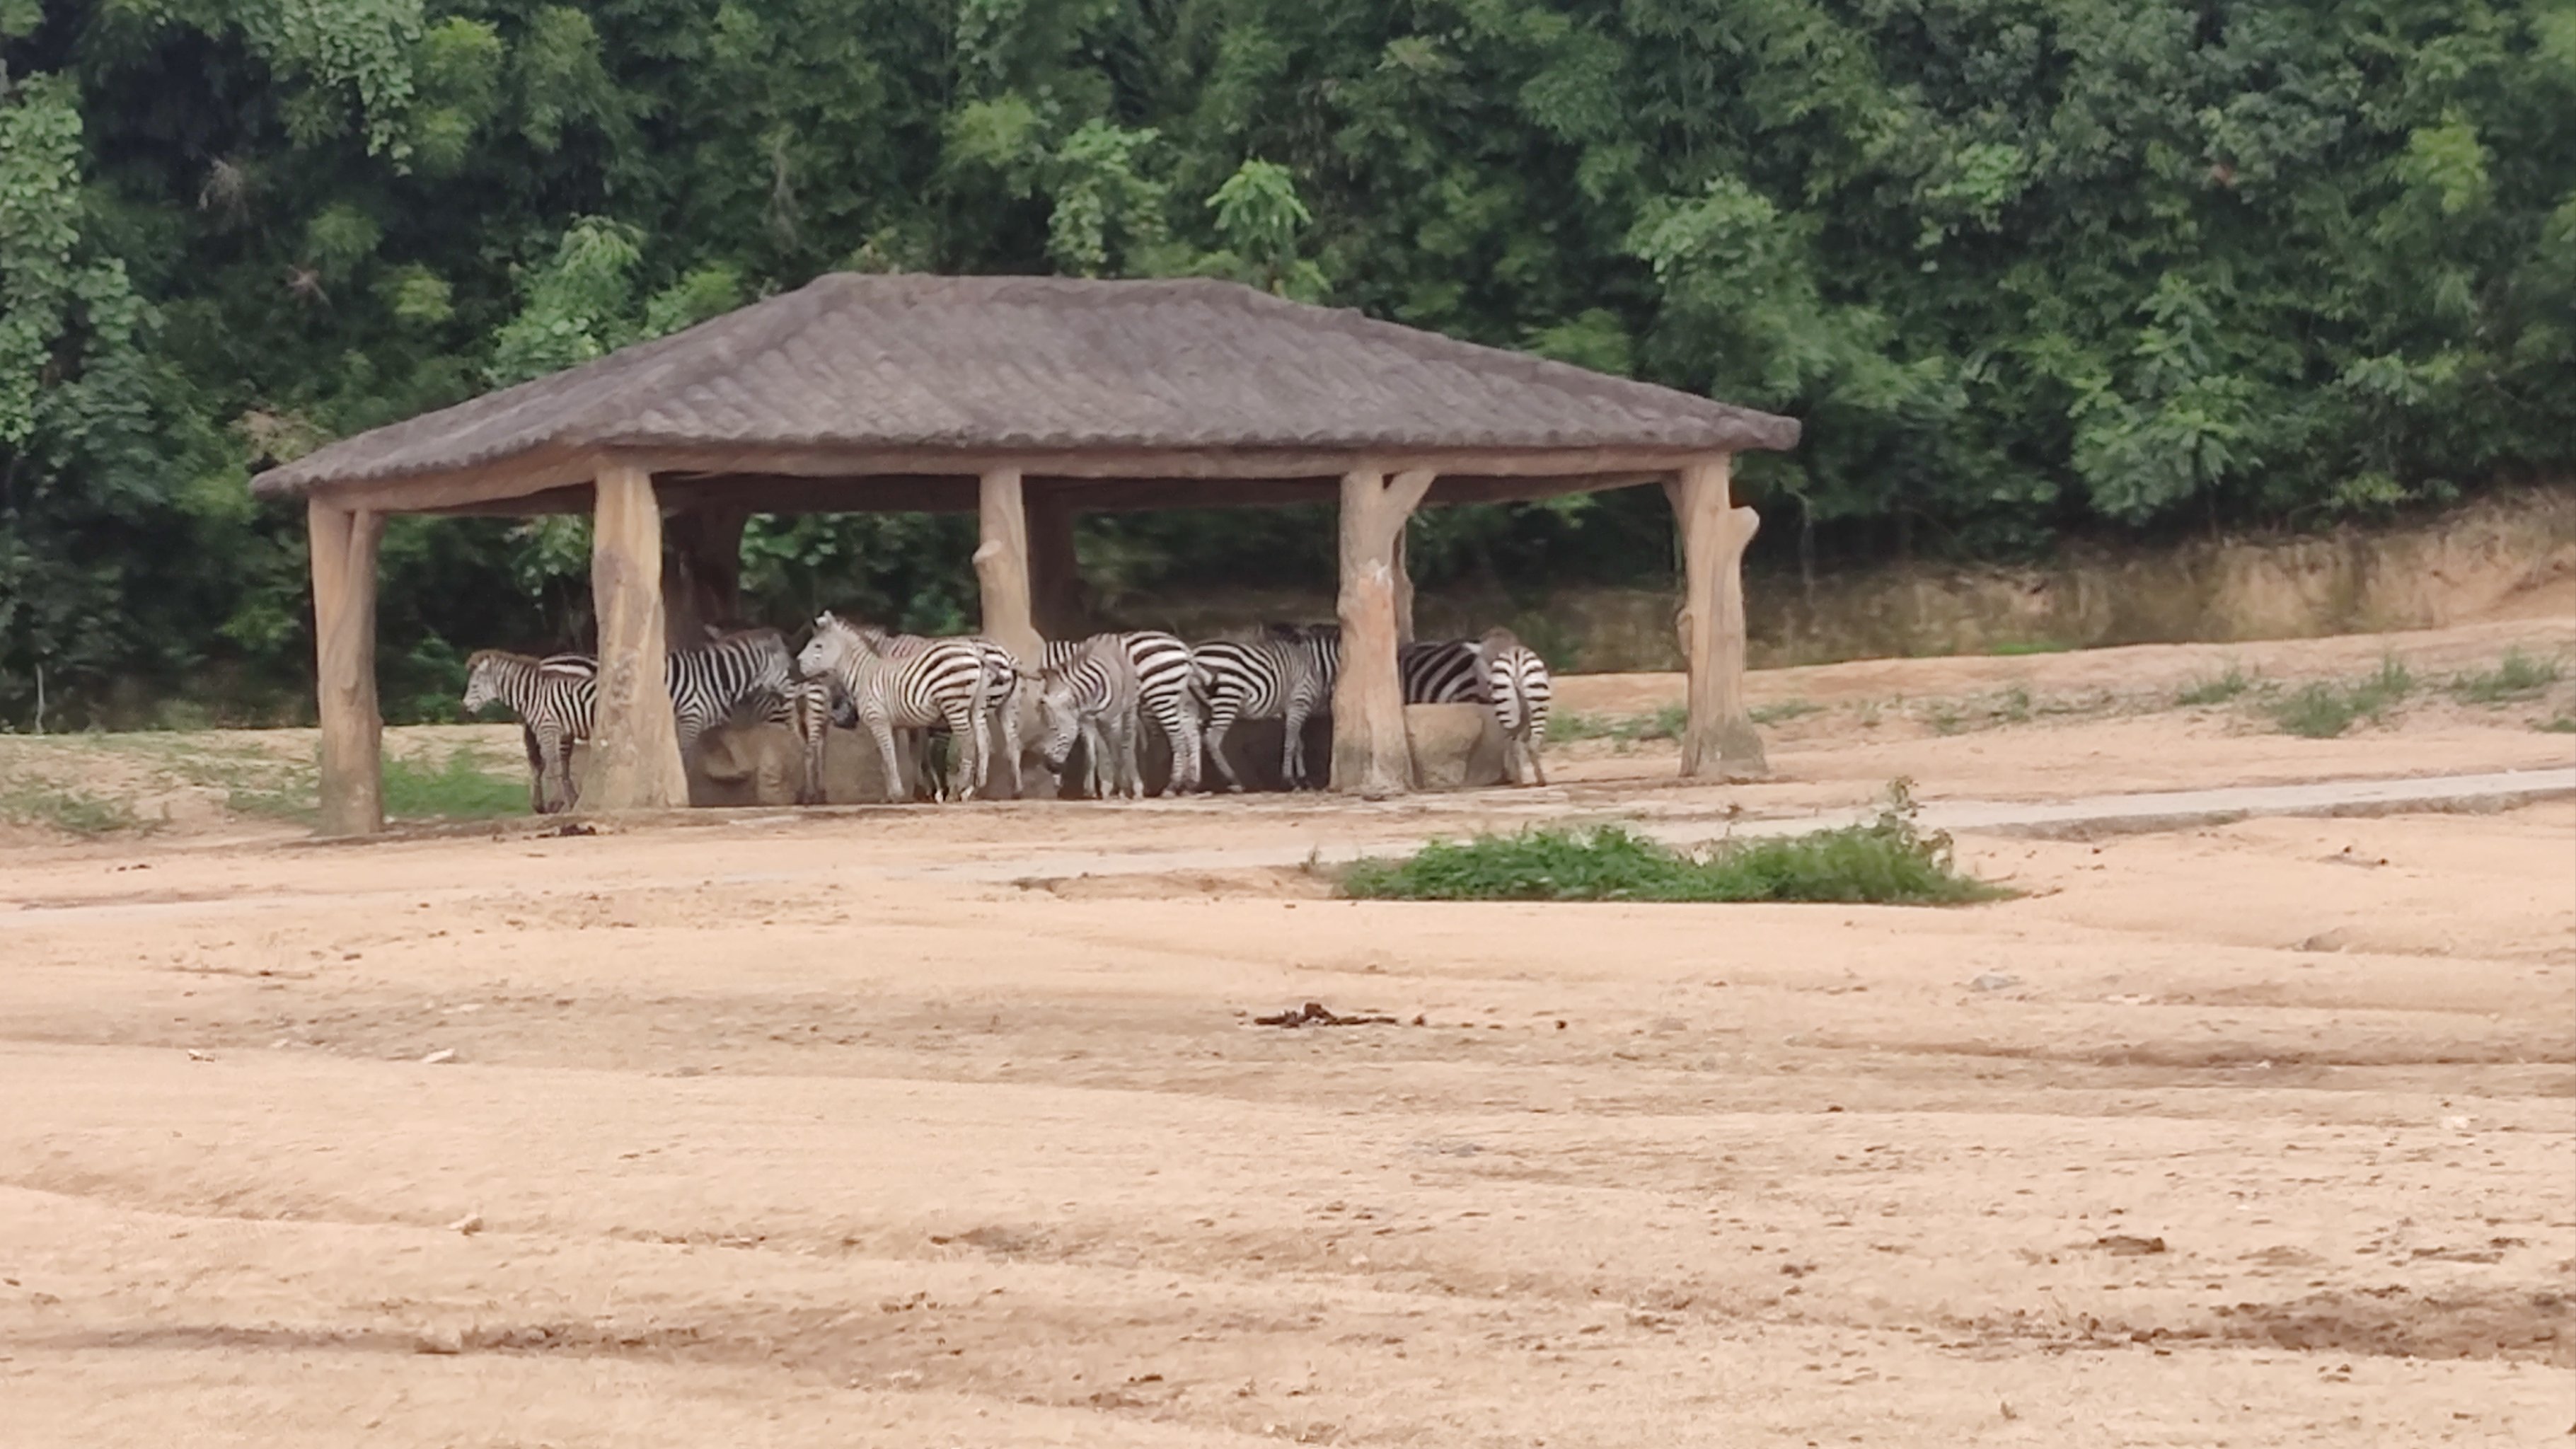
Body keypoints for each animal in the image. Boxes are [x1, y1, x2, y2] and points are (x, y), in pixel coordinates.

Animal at [458, 626, 788, 814]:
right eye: (789, 676)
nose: (788, 730)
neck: (711, 677)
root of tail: (549, 660)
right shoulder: (689, 720)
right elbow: (686, 759)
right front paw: (685, 795)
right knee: (554, 761)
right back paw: (556, 804)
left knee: (548, 762)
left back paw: (549, 805)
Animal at [798, 603, 999, 794]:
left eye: (818, 646)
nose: (799, 664)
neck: (864, 674)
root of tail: (974, 651)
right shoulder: (893, 724)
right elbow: (890, 758)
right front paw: (894, 794)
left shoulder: (878, 720)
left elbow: (888, 755)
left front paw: (896, 793)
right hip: (976, 706)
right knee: (983, 740)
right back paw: (975, 786)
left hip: (954, 704)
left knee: (968, 739)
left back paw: (960, 788)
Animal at [1030, 631, 1143, 794]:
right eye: (1043, 729)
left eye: (1055, 729)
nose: (1050, 767)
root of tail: (1107, 635)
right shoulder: (1086, 721)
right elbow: (1093, 755)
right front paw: (1097, 789)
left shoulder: (1112, 720)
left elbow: (1116, 752)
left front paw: (1121, 788)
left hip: (1129, 707)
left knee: (1128, 743)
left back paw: (1135, 785)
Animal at [1190, 613, 1339, 783]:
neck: (1316, 665)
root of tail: (1194, 651)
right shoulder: (1300, 702)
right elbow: (1290, 742)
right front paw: (1289, 778)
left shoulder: (1290, 708)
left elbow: (1297, 743)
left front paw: (1301, 774)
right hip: (1228, 698)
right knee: (1211, 739)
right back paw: (1232, 779)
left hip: (1200, 703)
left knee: (1192, 737)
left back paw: (1193, 780)